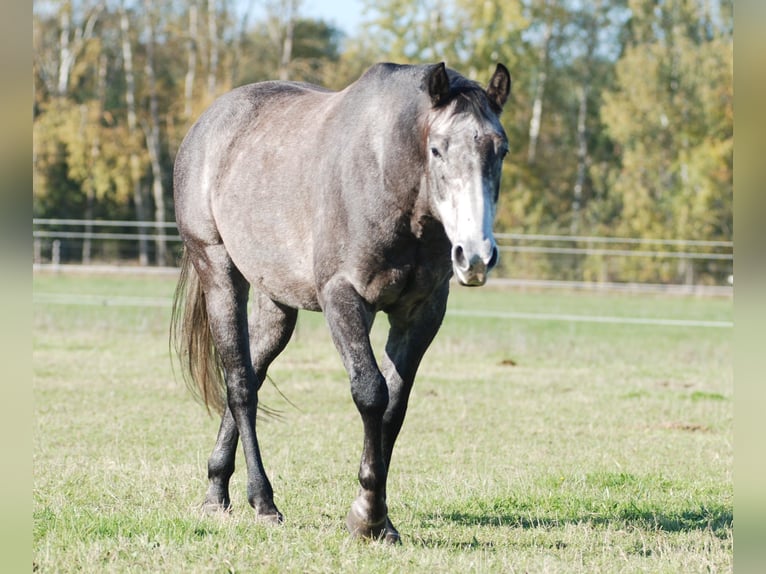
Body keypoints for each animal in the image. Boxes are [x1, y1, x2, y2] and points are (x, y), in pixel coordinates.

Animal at [171, 63, 512, 544]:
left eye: (500, 150)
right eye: (436, 149)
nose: (476, 256)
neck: (387, 175)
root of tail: (207, 122)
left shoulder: (422, 312)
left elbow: (394, 407)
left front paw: (380, 517)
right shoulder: (343, 297)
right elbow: (370, 393)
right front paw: (367, 516)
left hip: (276, 304)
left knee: (253, 373)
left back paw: (217, 488)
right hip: (218, 270)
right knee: (239, 386)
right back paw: (262, 501)